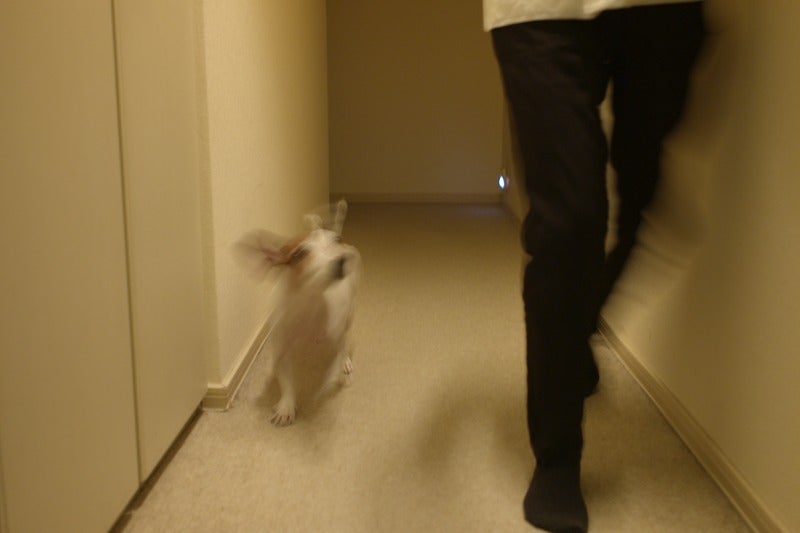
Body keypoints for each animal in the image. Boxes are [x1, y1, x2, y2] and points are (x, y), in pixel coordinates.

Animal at [234, 200, 361, 426]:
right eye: (299, 254)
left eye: (335, 241)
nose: (340, 260)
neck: (309, 302)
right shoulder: (282, 347)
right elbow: (286, 379)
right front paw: (286, 405)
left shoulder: (335, 334)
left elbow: (336, 356)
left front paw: (337, 374)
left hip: (349, 313)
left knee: (344, 340)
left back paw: (344, 362)